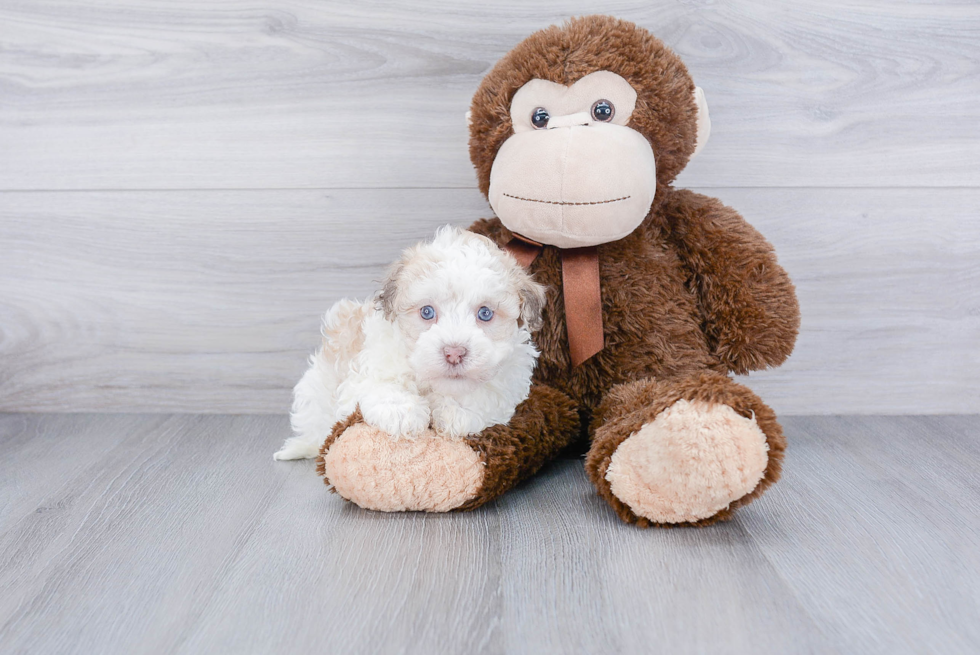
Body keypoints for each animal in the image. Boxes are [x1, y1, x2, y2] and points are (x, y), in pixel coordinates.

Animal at [276, 228, 548, 464]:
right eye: (427, 312)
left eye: (485, 313)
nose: (454, 353)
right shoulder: (369, 364)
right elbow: (379, 385)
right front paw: (400, 411)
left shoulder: (510, 378)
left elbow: (486, 394)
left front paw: (458, 411)